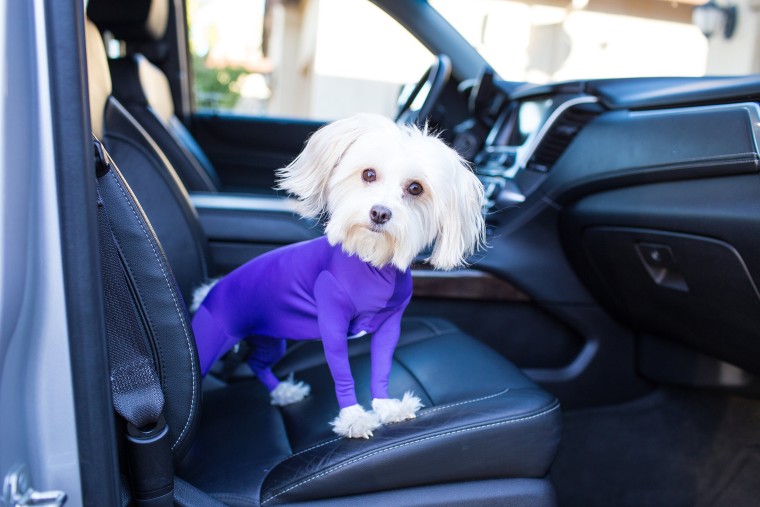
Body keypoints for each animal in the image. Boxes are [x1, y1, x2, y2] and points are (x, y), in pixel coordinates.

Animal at [191, 113, 486, 438]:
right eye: (368, 174)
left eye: (415, 188)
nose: (380, 213)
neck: (371, 263)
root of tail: (211, 291)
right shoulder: (332, 323)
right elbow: (342, 375)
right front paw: (354, 418)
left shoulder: (390, 326)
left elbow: (381, 369)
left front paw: (387, 408)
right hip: (210, 340)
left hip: (269, 338)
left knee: (257, 363)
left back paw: (282, 391)